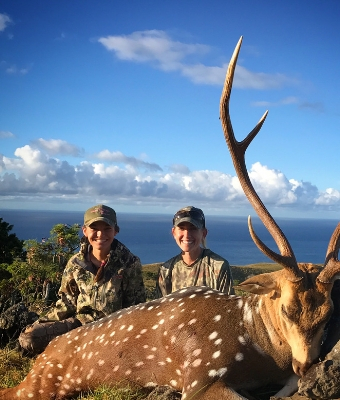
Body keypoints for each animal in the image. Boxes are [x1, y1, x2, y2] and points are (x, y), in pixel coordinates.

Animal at [0, 37, 340, 400]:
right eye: (288, 309)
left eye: (328, 313)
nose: (306, 365)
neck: (256, 348)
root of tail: (42, 356)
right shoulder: (200, 372)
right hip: (42, 382)